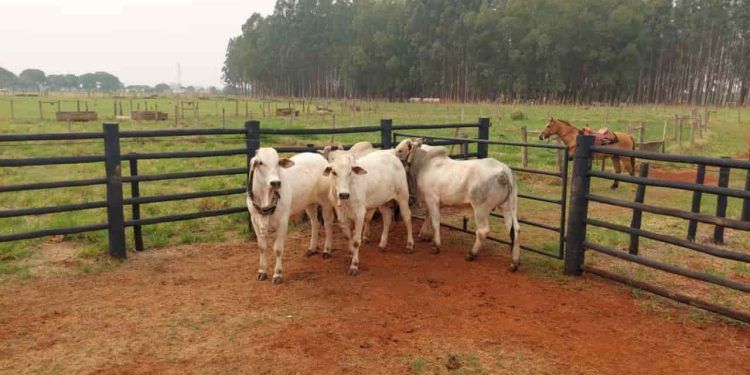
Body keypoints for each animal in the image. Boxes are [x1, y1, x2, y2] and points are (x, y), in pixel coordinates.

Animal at [247, 148, 334, 284]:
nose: (276, 182)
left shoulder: (283, 221)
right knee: (315, 222)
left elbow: (278, 249)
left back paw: (327, 250)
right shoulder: (255, 220)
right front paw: (262, 271)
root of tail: (320, 157)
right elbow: (262, 247)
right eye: (260, 162)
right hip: (308, 203)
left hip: (326, 202)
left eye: (278, 162)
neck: (265, 198)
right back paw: (312, 248)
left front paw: (277, 274)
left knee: (328, 224)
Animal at [394, 140, 524, 272]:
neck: (424, 163)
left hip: (480, 209)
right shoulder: (428, 201)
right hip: (508, 206)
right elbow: (428, 216)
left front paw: (436, 246)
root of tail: (504, 170)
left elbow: (435, 221)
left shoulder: (432, 200)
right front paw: (424, 235)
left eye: (400, 150)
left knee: (483, 231)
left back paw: (472, 254)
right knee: (515, 230)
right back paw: (514, 262)